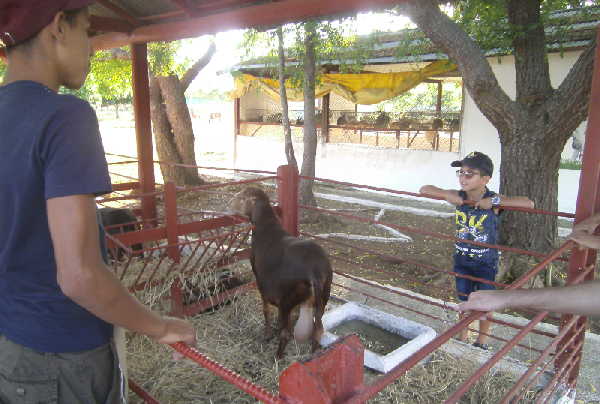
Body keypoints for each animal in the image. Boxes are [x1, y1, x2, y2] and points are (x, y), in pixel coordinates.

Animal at [230, 188, 332, 358]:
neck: (266, 226)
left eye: (241, 197)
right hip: (323, 296)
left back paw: (277, 356)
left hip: (286, 300)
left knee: (286, 332)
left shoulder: (261, 281)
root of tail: (314, 271)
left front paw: (267, 334)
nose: (229, 204)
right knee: (317, 330)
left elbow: (266, 310)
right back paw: (312, 355)